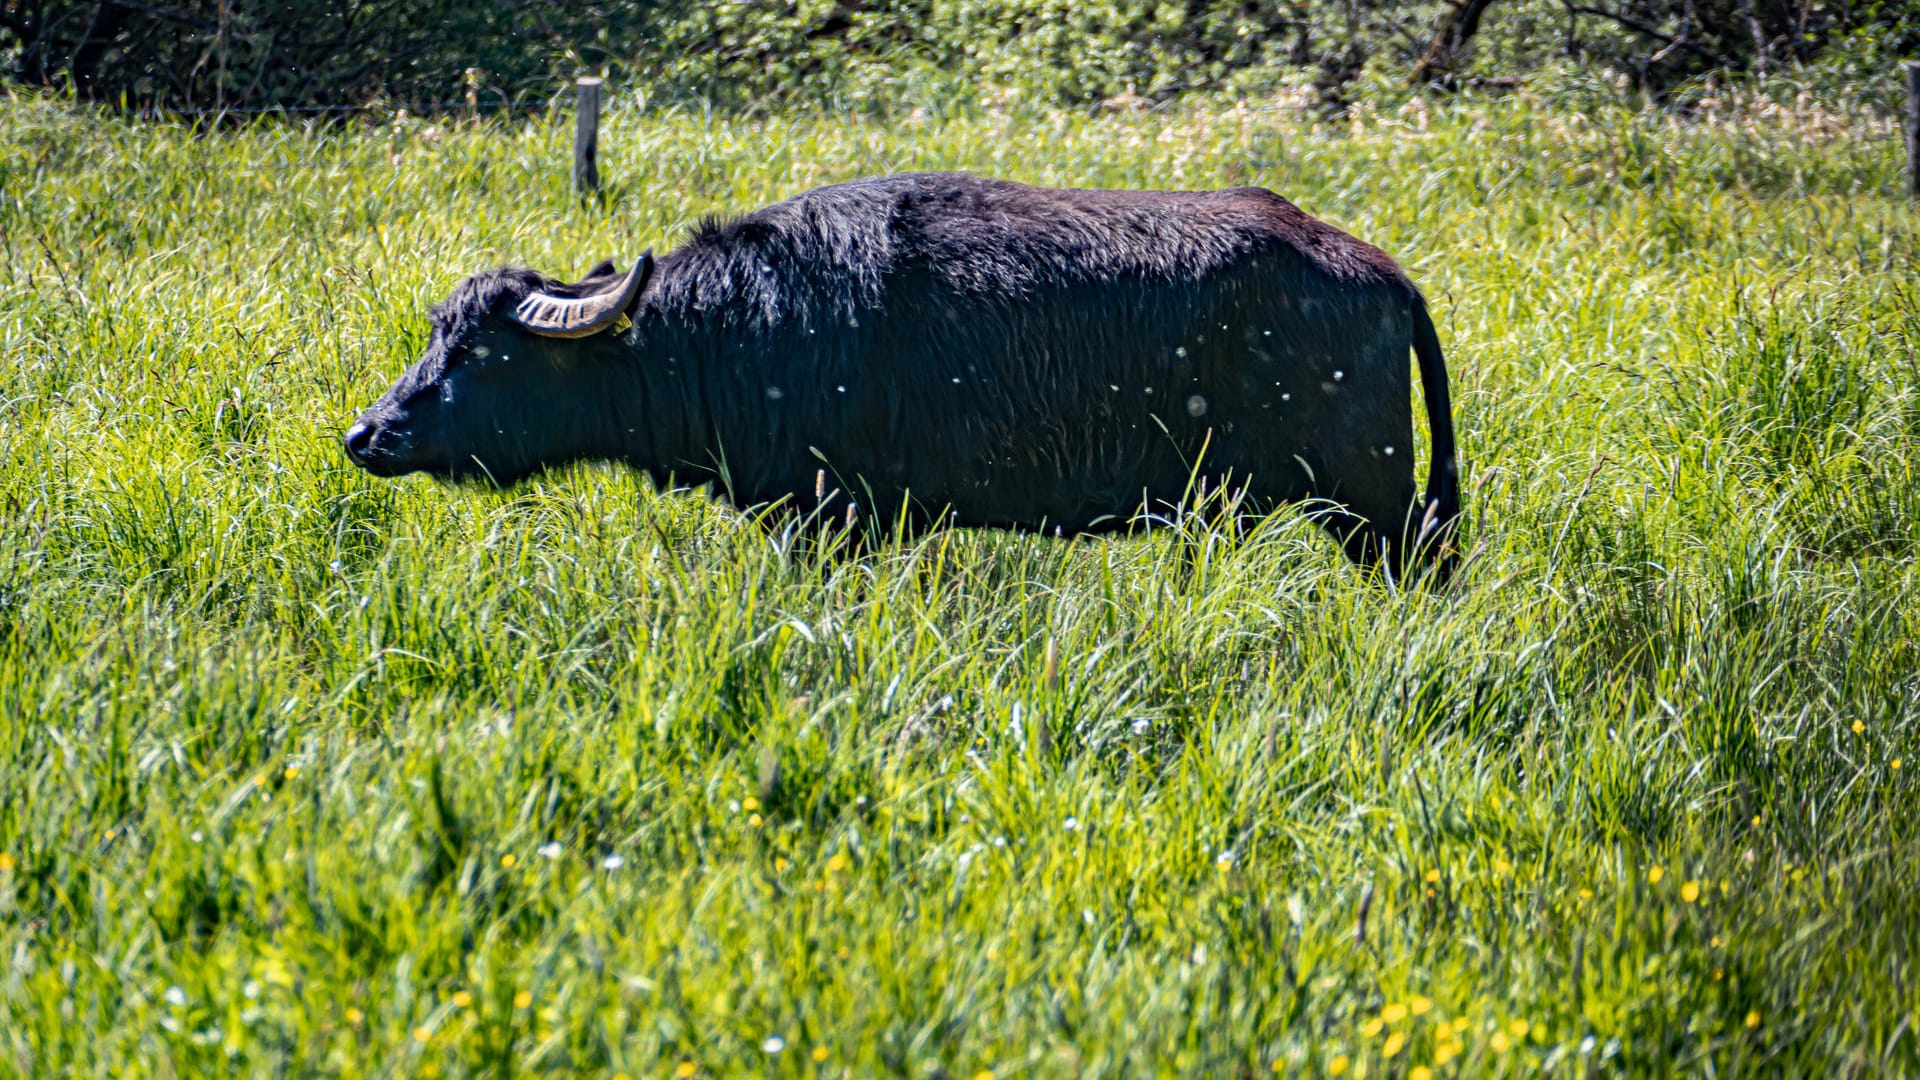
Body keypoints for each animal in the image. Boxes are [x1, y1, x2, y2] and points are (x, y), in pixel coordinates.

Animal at [345, 170, 1451, 572]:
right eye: (436, 333)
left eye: (482, 352)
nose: (368, 433)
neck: (750, 325)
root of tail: (1382, 271)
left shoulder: (846, 521)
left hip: (1375, 506)